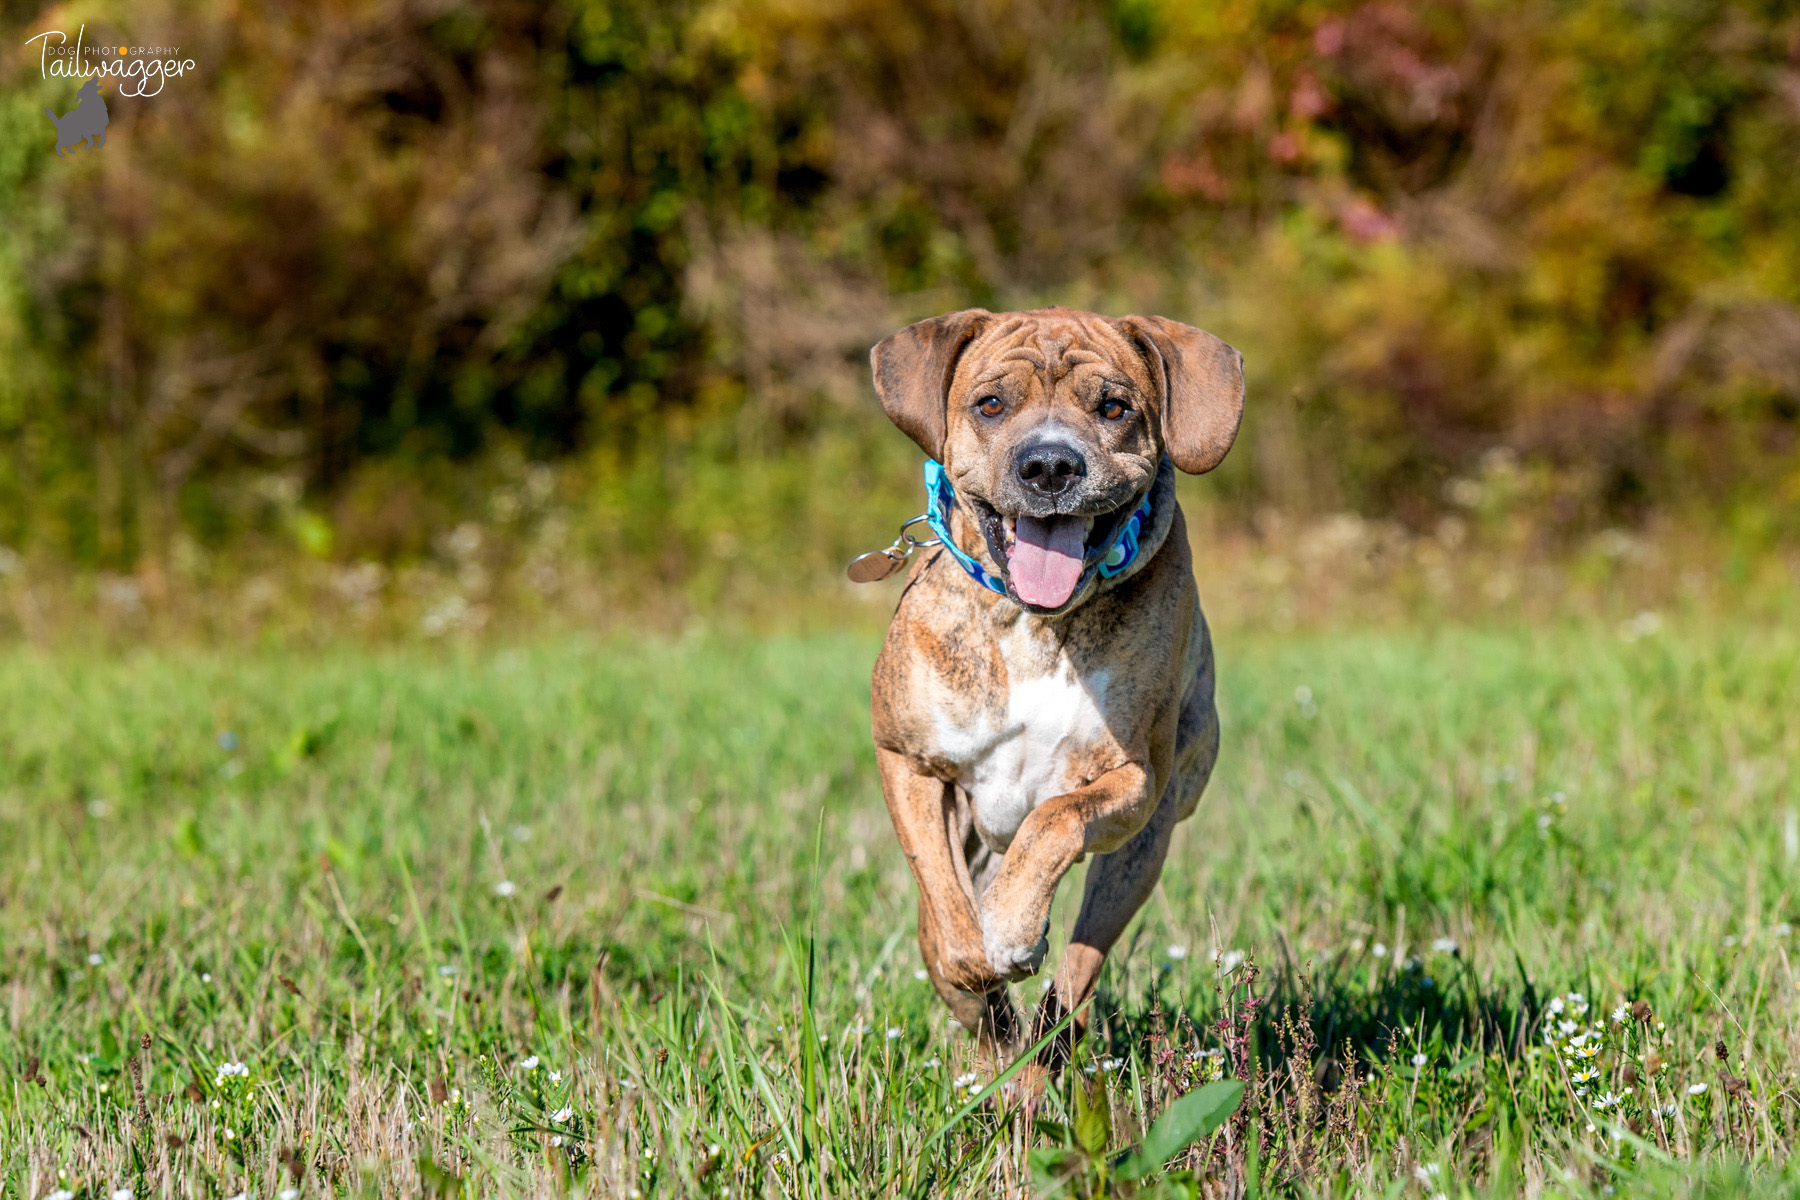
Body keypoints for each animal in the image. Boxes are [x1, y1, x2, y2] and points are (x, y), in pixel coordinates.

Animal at [867, 305, 1238, 1065]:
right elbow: (945, 909)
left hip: (1140, 853)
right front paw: (980, 954)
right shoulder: (905, 760)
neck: (1035, 624)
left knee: (1073, 980)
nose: (1049, 464)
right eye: (990, 404)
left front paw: (1013, 926)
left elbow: (1055, 819)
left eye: (1114, 407)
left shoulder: (1133, 779)